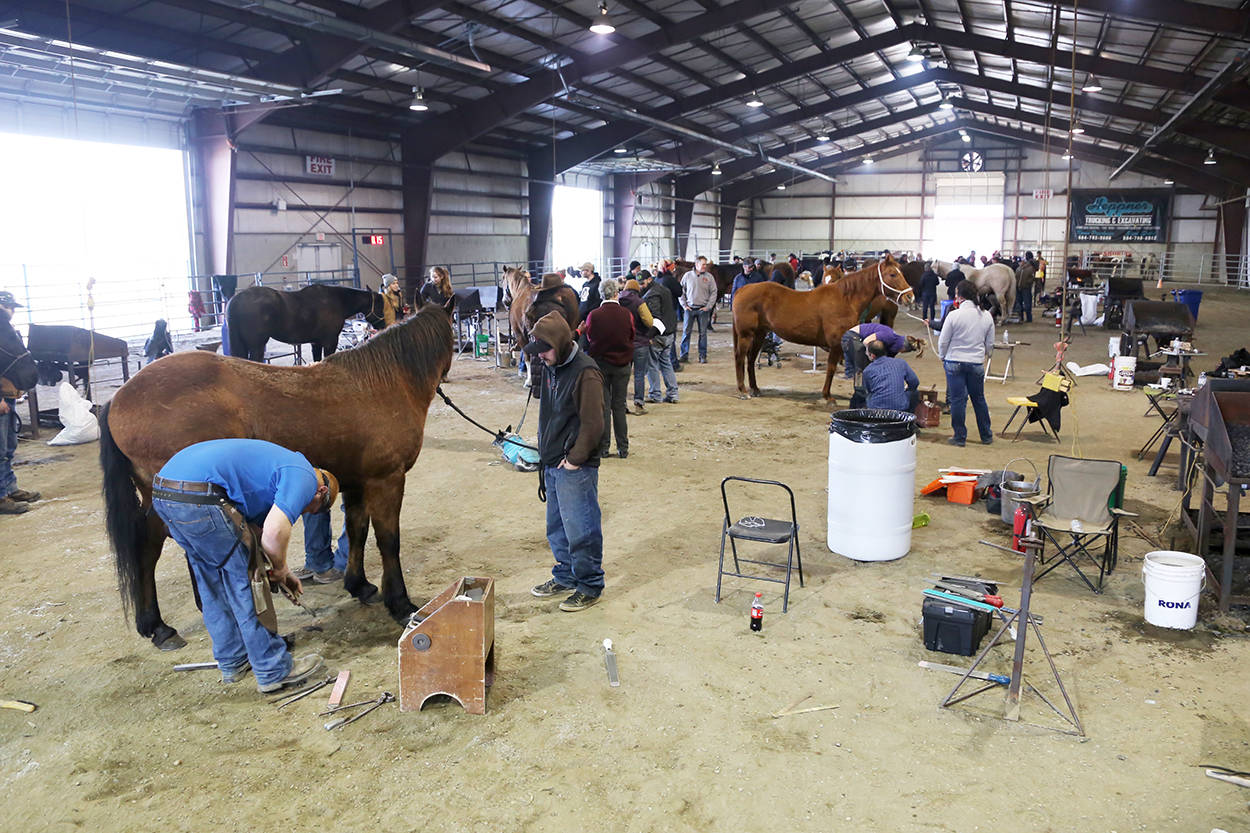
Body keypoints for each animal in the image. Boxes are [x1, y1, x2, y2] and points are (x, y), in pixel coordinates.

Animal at [100, 298, 457, 650]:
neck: (382, 384)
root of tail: (116, 399)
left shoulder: (358, 483)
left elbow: (357, 531)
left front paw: (360, 585)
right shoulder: (386, 481)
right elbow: (388, 541)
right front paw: (400, 603)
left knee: (148, 549)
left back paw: (158, 626)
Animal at [730, 252, 920, 400]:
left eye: (900, 272)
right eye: (893, 274)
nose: (910, 296)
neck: (845, 298)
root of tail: (742, 290)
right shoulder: (835, 344)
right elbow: (831, 367)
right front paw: (827, 396)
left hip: (760, 334)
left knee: (751, 359)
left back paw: (755, 389)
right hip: (746, 335)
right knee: (740, 358)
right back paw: (743, 391)